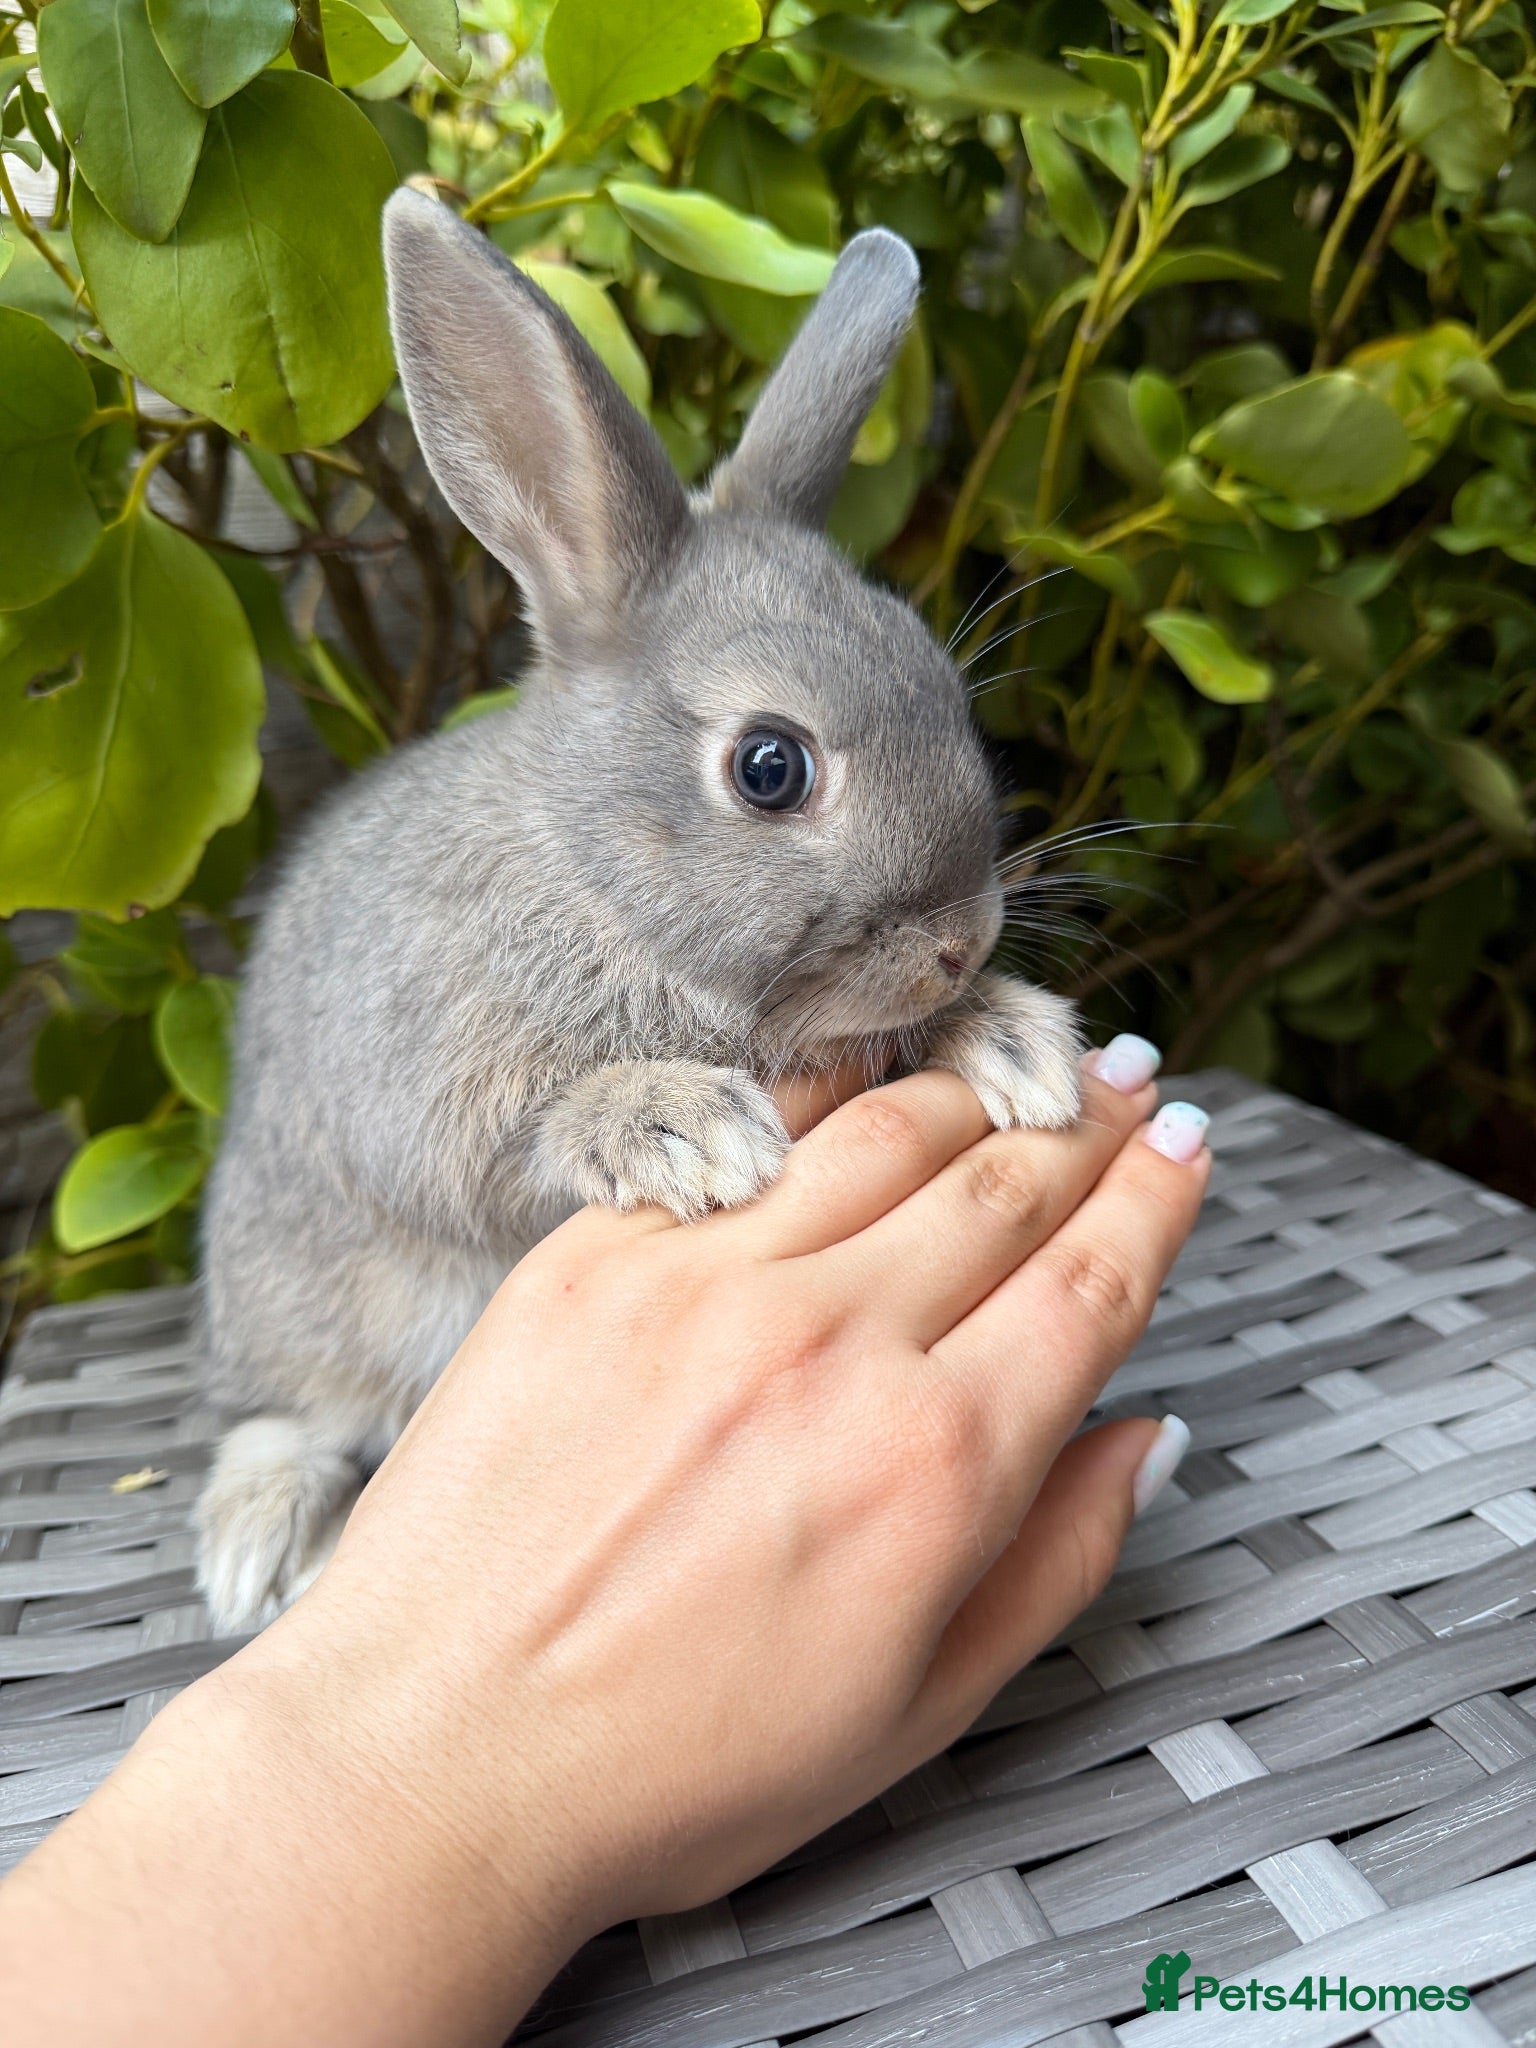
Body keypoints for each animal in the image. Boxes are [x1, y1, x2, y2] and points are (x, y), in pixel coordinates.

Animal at [193, 189, 1083, 1633]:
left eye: (950, 694)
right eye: (769, 766)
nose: (963, 944)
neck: (598, 881)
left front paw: (1016, 1045)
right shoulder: (433, 1087)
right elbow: (512, 1141)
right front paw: (678, 1127)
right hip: (296, 1294)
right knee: (289, 1407)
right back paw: (261, 1541)